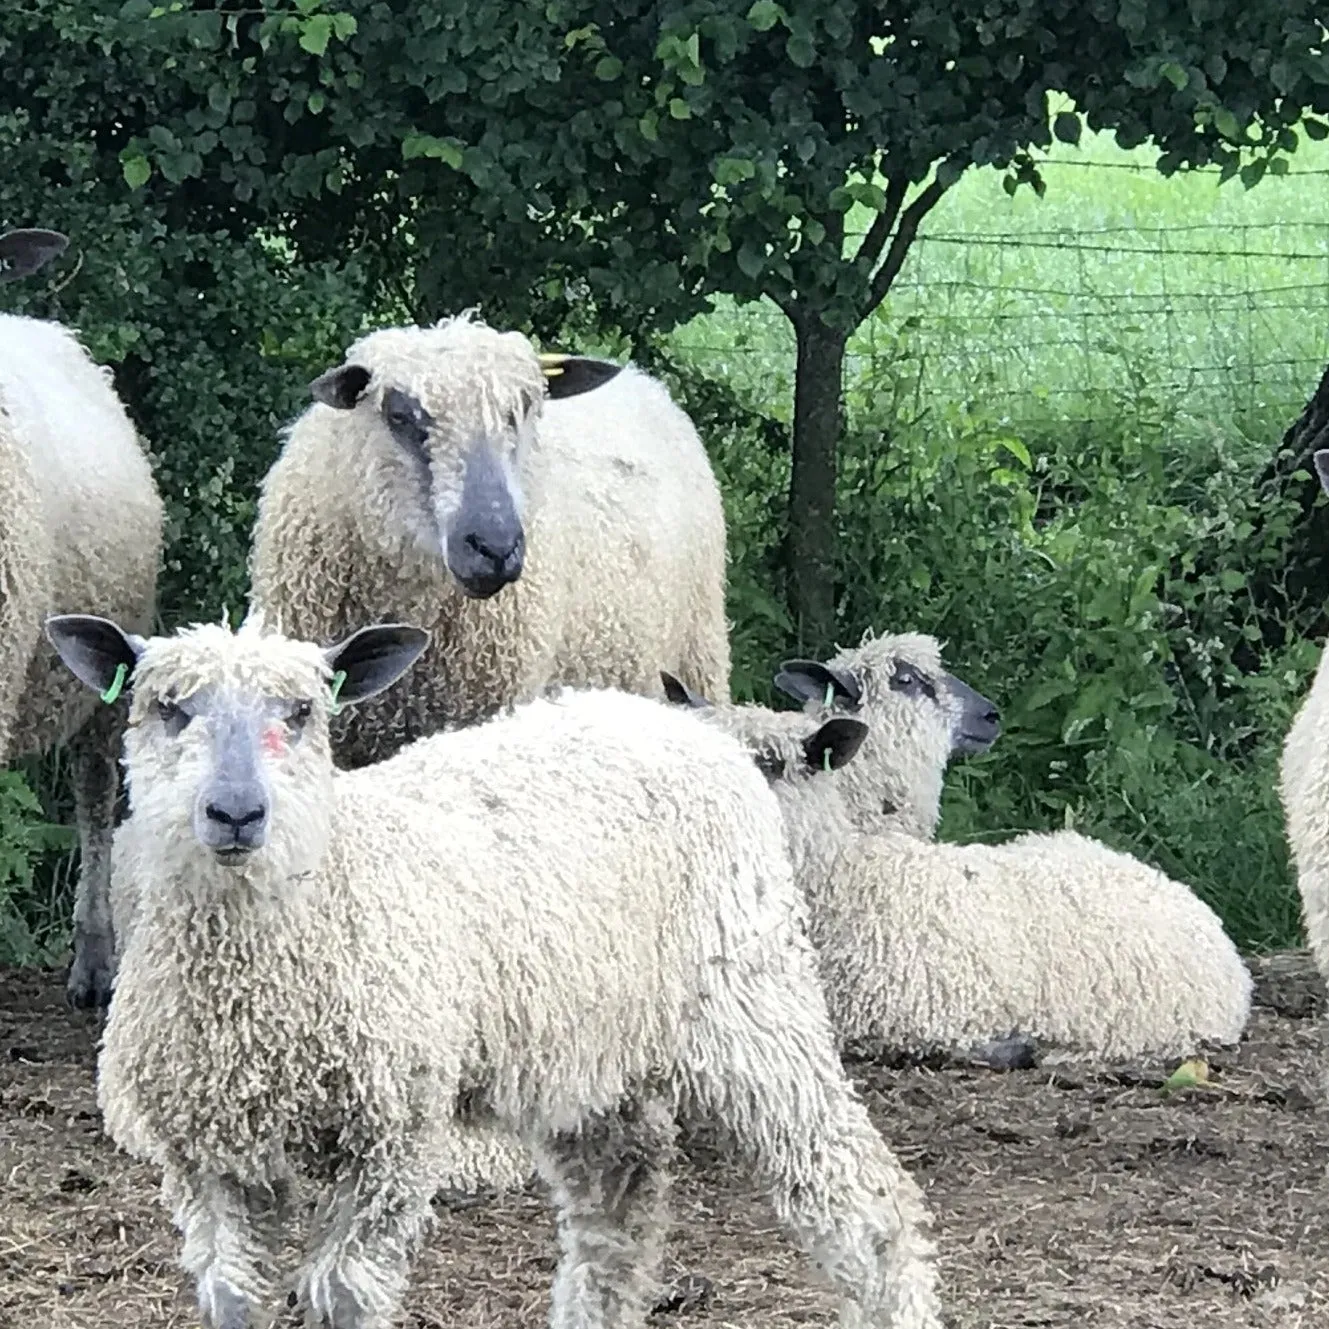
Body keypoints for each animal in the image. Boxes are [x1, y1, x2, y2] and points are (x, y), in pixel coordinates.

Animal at [46, 611, 940, 1329]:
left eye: (302, 713)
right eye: (168, 706)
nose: (235, 812)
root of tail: (689, 728)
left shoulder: (395, 1132)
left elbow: (344, 1293)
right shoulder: (209, 1154)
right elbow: (236, 1297)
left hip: (753, 1001)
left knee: (864, 1199)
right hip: (597, 1057)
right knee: (618, 1215)